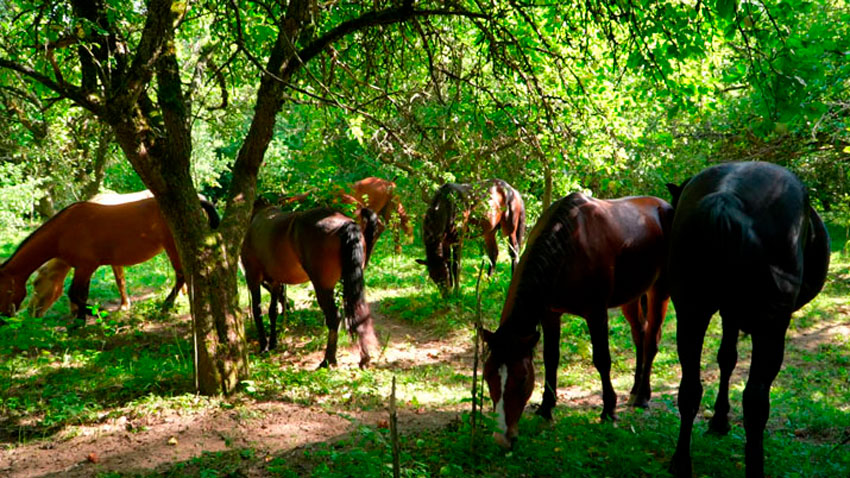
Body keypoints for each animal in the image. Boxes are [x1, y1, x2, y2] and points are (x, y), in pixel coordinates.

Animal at [0, 192, 219, 324]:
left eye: (36, 283)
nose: (31, 313)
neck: (64, 230)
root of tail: (199, 200)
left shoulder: (86, 266)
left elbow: (75, 294)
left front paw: (88, 316)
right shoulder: (84, 268)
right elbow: (80, 293)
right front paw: (82, 318)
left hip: (172, 245)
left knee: (181, 274)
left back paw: (166, 306)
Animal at [238, 200, 378, 368]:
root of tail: (346, 224)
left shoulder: (252, 277)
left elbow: (257, 311)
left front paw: (264, 346)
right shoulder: (275, 282)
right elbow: (273, 312)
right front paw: (272, 343)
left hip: (323, 287)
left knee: (334, 318)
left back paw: (327, 360)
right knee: (358, 313)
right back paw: (364, 358)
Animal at [476, 192, 668, 450]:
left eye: (523, 378)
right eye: (487, 375)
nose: (502, 437)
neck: (568, 244)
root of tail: (663, 204)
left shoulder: (596, 313)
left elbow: (602, 360)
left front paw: (609, 410)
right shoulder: (550, 314)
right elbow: (551, 358)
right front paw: (546, 408)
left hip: (660, 289)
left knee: (651, 340)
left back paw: (643, 396)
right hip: (632, 296)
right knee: (640, 334)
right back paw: (635, 388)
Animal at [664, 162, 828, 478]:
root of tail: (726, 197)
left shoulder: (728, 314)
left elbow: (725, 358)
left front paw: (718, 420)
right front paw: (720, 421)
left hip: (691, 312)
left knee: (690, 388)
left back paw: (680, 461)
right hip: (772, 326)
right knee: (755, 402)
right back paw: (754, 466)